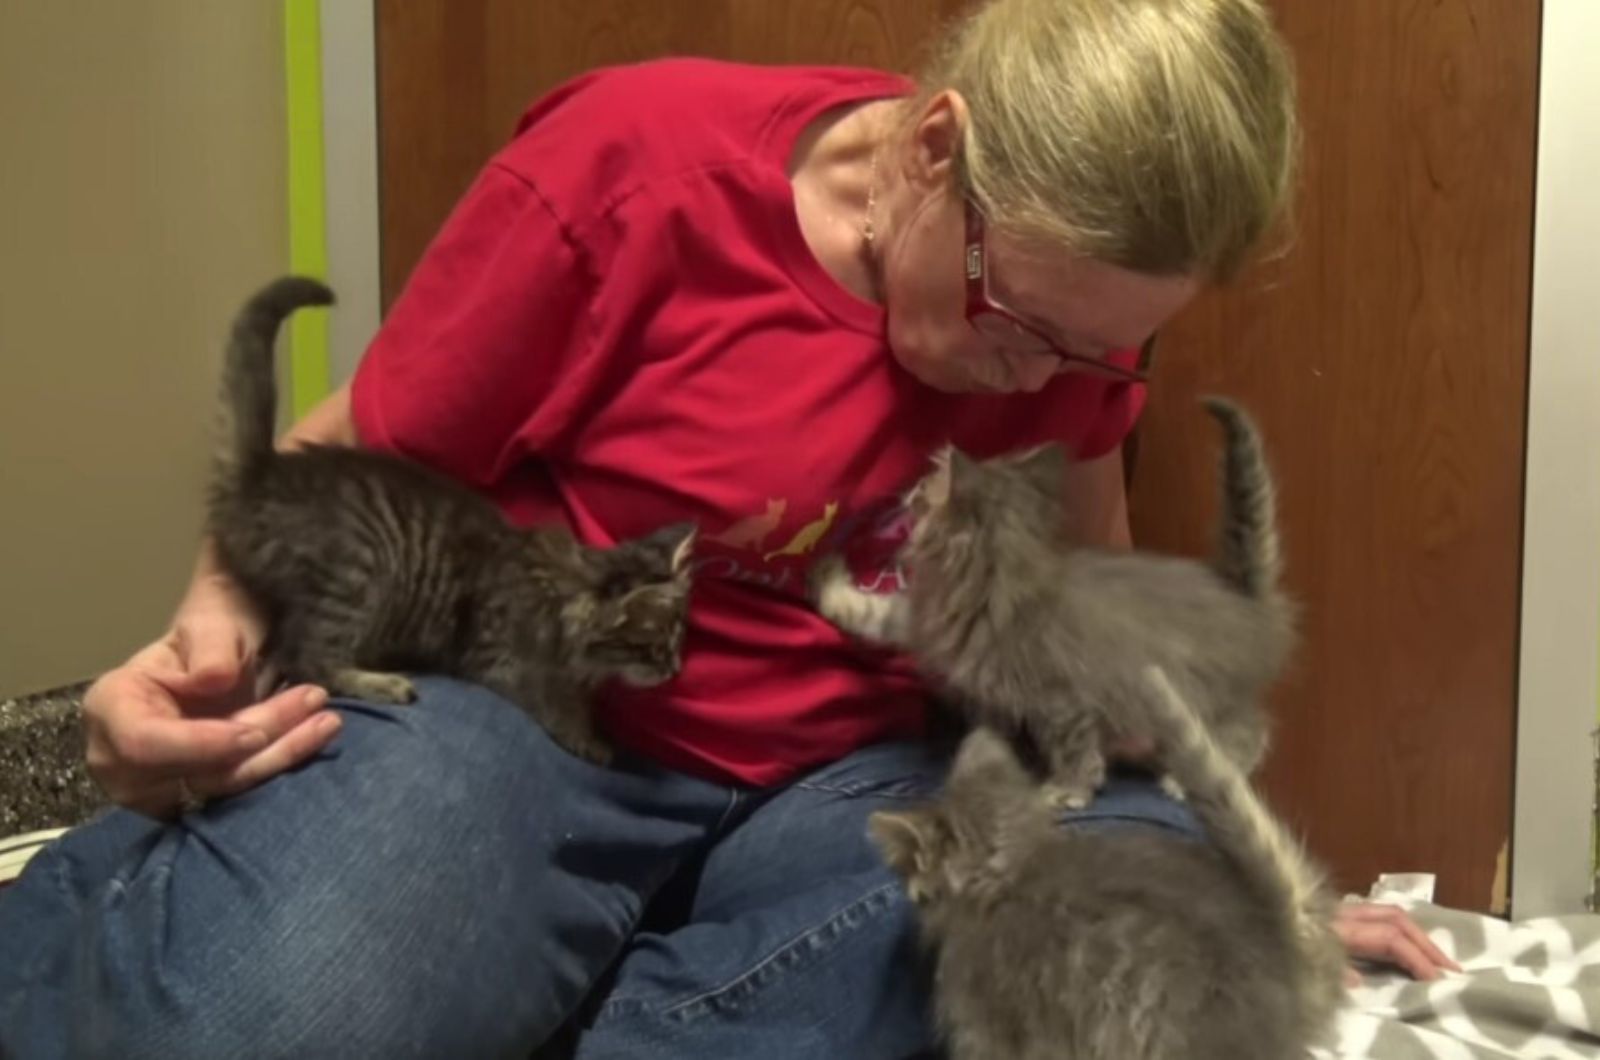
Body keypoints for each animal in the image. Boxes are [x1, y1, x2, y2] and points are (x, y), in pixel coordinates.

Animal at [206, 281, 694, 765]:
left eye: (679, 637)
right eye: (651, 645)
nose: (674, 670)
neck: (561, 595)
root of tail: (264, 472)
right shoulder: (496, 656)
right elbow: (546, 696)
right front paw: (583, 734)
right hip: (360, 569)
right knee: (309, 657)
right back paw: (380, 681)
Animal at [812, 403, 1286, 810]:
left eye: (921, 494)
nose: (908, 491)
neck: (989, 583)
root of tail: (1240, 594)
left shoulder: (1065, 700)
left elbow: (1075, 752)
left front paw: (1068, 791)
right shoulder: (925, 619)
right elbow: (869, 612)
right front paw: (826, 580)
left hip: (1206, 705)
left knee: (1253, 735)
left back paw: (1194, 780)